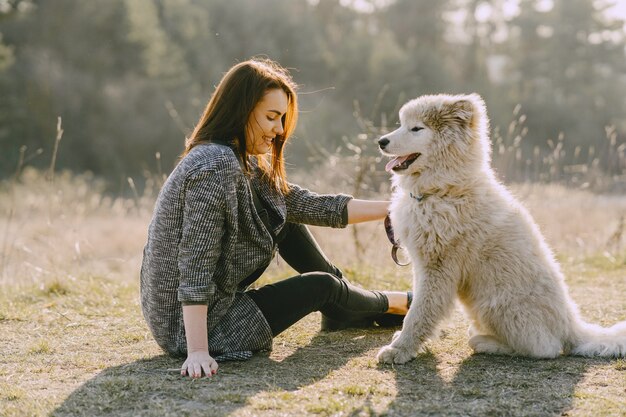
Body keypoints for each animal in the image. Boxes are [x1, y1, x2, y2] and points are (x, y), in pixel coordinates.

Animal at [376, 92, 624, 362]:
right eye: (401, 124)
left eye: (417, 128)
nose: (381, 141)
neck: (443, 190)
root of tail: (571, 325)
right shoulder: (422, 265)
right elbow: (421, 307)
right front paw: (405, 343)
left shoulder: (438, 266)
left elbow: (420, 312)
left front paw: (399, 350)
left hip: (495, 303)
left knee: (543, 348)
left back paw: (485, 342)